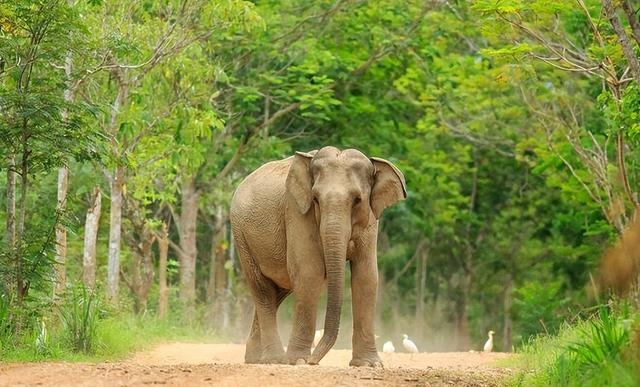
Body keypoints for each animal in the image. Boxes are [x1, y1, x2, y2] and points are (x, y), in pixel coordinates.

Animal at [231, 146, 404, 366]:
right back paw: (275, 359)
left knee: (277, 291)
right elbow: (309, 272)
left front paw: (369, 365)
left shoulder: (371, 220)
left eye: (357, 200)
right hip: (241, 236)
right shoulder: (296, 211)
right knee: (262, 288)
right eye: (315, 200)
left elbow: (366, 278)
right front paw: (299, 361)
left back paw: (256, 359)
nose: (314, 361)